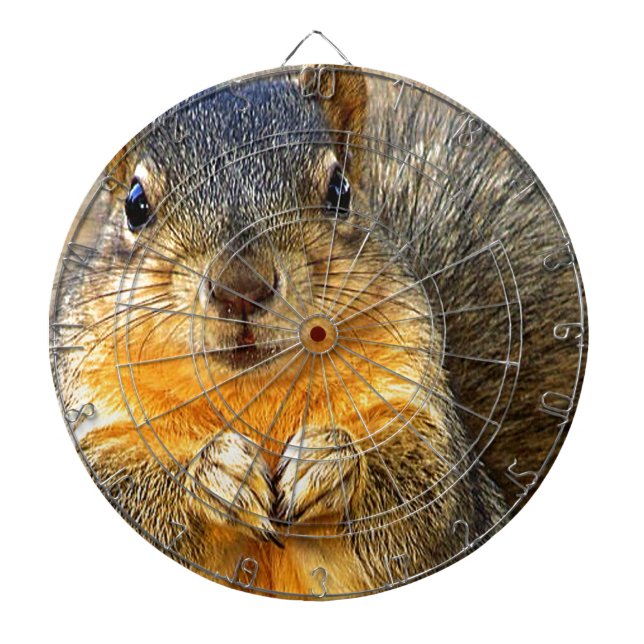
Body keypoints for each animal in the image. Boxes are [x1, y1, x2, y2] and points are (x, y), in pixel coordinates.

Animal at [52, 66, 584, 597]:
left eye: (340, 191)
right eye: (135, 204)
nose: (241, 288)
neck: (252, 391)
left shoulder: (419, 411)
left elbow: (428, 496)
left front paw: (329, 459)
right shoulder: (97, 416)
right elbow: (128, 486)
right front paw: (216, 472)